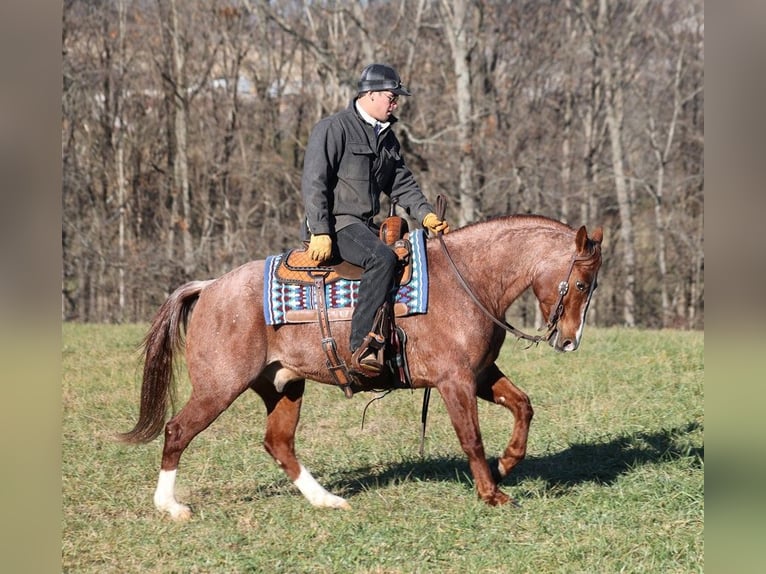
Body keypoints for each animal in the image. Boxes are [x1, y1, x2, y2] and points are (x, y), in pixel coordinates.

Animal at [118, 216, 608, 520]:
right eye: (583, 283)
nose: (569, 340)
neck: (467, 280)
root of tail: (211, 286)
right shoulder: (455, 381)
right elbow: (471, 437)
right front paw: (492, 493)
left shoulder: (482, 374)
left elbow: (523, 406)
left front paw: (505, 464)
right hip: (219, 386)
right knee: (177, 431)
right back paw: (170, 507)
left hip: (283, 386)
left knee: (279, 444)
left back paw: (327, 500)